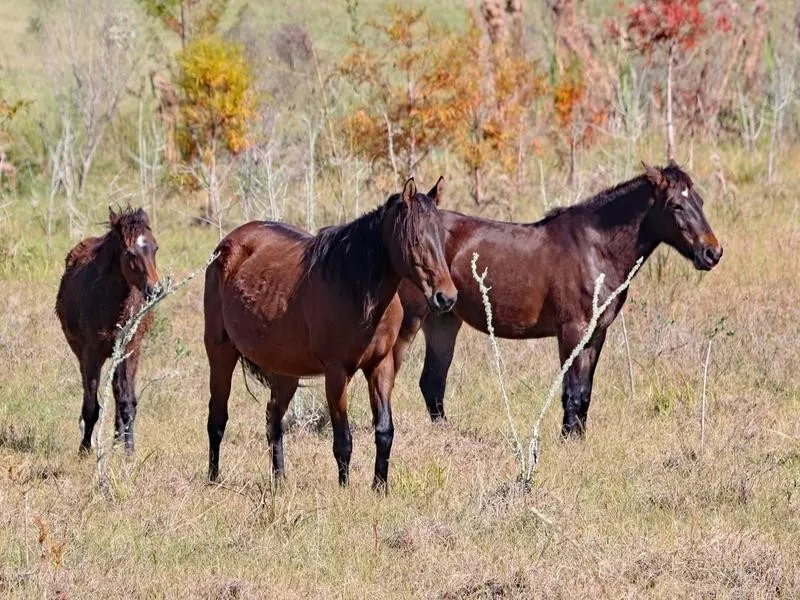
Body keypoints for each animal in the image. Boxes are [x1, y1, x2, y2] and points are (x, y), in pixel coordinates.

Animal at [55, 209, 159, 452]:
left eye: (155, 248)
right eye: (130, 252)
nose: (155, 290)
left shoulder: (130, 349)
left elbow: (127, 402)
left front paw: (129, 451)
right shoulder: (92, 353)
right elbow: (92, 405)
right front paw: (84, 449)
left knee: (117, 392)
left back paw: (118, 439)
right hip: (83, 353)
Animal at [205, 177, 456, 488]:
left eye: (442, 238)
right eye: (415, 240)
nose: (446, 297)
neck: (354, 288)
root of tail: (226, 246)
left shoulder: (381, 366)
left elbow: (385, 432)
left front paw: (380, 487)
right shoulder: (336, 373)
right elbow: (343, 440)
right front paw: (344, 489)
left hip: (285, 371)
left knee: (273, 419)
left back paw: (279, 480)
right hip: (220, 353)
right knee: (217, 418)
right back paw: (213, 479)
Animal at [396, 163, 724, 436]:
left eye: (700, 202)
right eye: (676, 205)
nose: (712, 252)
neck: (595, 249)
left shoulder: (596, 334)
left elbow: (585, 390)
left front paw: (578, 437)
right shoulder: (572, 331)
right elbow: (573, 388)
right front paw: (568, 437)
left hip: (444, 320)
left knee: (432, 382)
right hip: (412, 320)